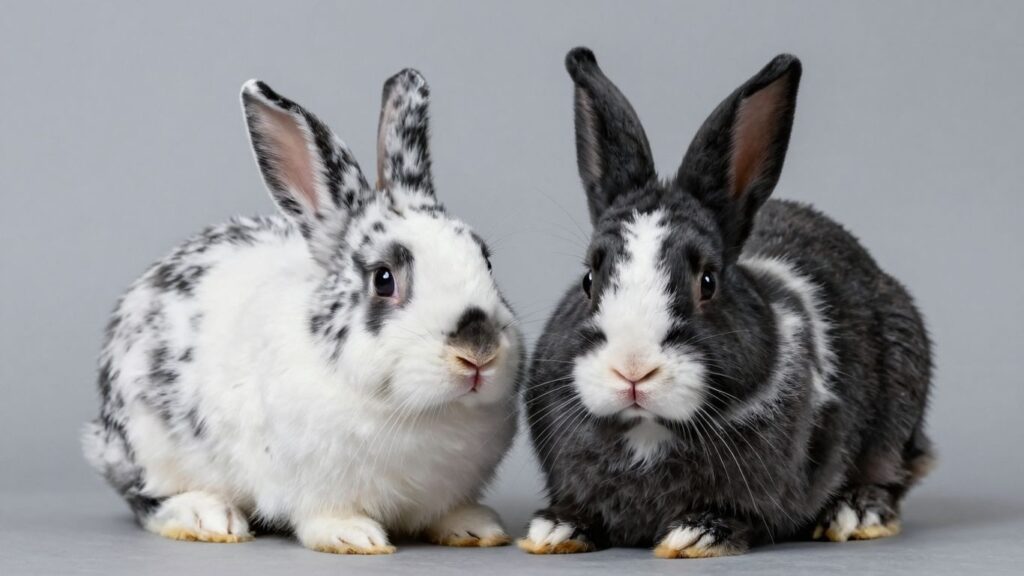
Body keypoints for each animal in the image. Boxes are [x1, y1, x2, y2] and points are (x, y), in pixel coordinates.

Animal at [81, 68, 524, 554]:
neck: (420, 413)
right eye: (383, 279)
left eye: (485, 261)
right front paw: (355, 537)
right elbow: (324, 516)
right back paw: (209, 517)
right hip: (149, 446)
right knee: (147, 498)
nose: (478, 351)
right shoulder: (313, 485)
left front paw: (476, 529)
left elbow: (449, 512)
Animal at [519, 48, 933, 558]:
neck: (647, 430)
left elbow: (748, 516)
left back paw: (856, 513)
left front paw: (696, 535)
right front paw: (555, 529)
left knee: (892, 473)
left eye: (708, 281)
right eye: (588, 279)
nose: (632, 371)